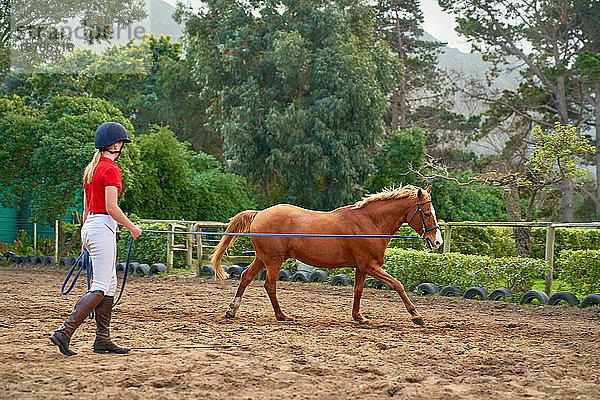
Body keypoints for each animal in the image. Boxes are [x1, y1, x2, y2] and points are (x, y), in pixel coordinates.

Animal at [210, 184, 440, 324]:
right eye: (427, 213)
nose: (437, 242)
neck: (369, 223)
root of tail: (259, 213)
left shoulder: (361, 267)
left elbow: (358, 290)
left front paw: (358, 317)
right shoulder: (370, 265)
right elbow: (397, 285)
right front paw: (416, 315)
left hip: (263, 258)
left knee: (246, 277)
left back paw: (232, 310)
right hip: (273, 260)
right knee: (270, 285)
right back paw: (282, 315)